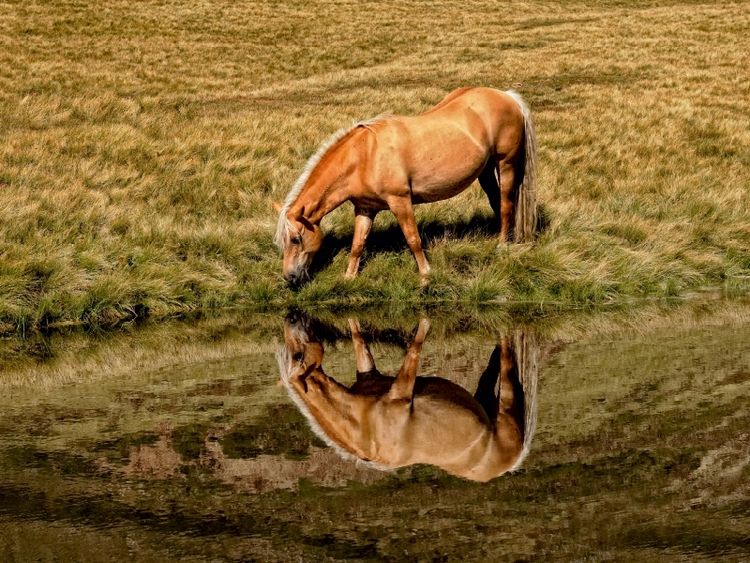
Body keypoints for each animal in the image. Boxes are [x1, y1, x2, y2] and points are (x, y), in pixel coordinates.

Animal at [274, 87, 538, 286]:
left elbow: (413, 239)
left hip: (505, 163)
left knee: (506, 203)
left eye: (295, 239)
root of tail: (507, 96)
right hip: (485, 171)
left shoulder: (400, 201)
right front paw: (349, 278)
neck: (364, 156)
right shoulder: (365, 208)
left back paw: (502, 245)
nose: (289, 277)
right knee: (496, 202)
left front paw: (425, 275)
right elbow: (358, 244)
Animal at [276, 314, 539, 482]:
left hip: (506, 406)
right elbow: (360, 339)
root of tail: (510, 464)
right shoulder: (374, 374)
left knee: (506, 361)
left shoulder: (401, 390)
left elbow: (413, 347)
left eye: (297, 355)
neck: (365, 428)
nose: (292, 318)